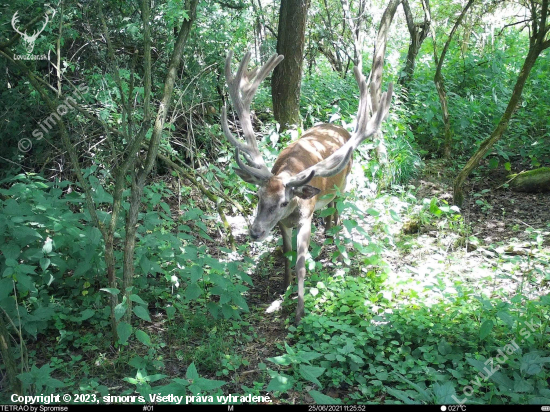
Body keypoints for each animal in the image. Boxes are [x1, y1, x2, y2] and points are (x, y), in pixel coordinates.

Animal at [222, 51, 394, 324]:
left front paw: (299, 311)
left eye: (284, 201)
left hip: (344, 184)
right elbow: (286, 253)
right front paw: (285, 287)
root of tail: (338, 127)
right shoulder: (282, 223)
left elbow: (302, 263)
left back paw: (335, 241)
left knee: (338, 211)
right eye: (258, 195)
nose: (255, 232)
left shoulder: (306, 217)